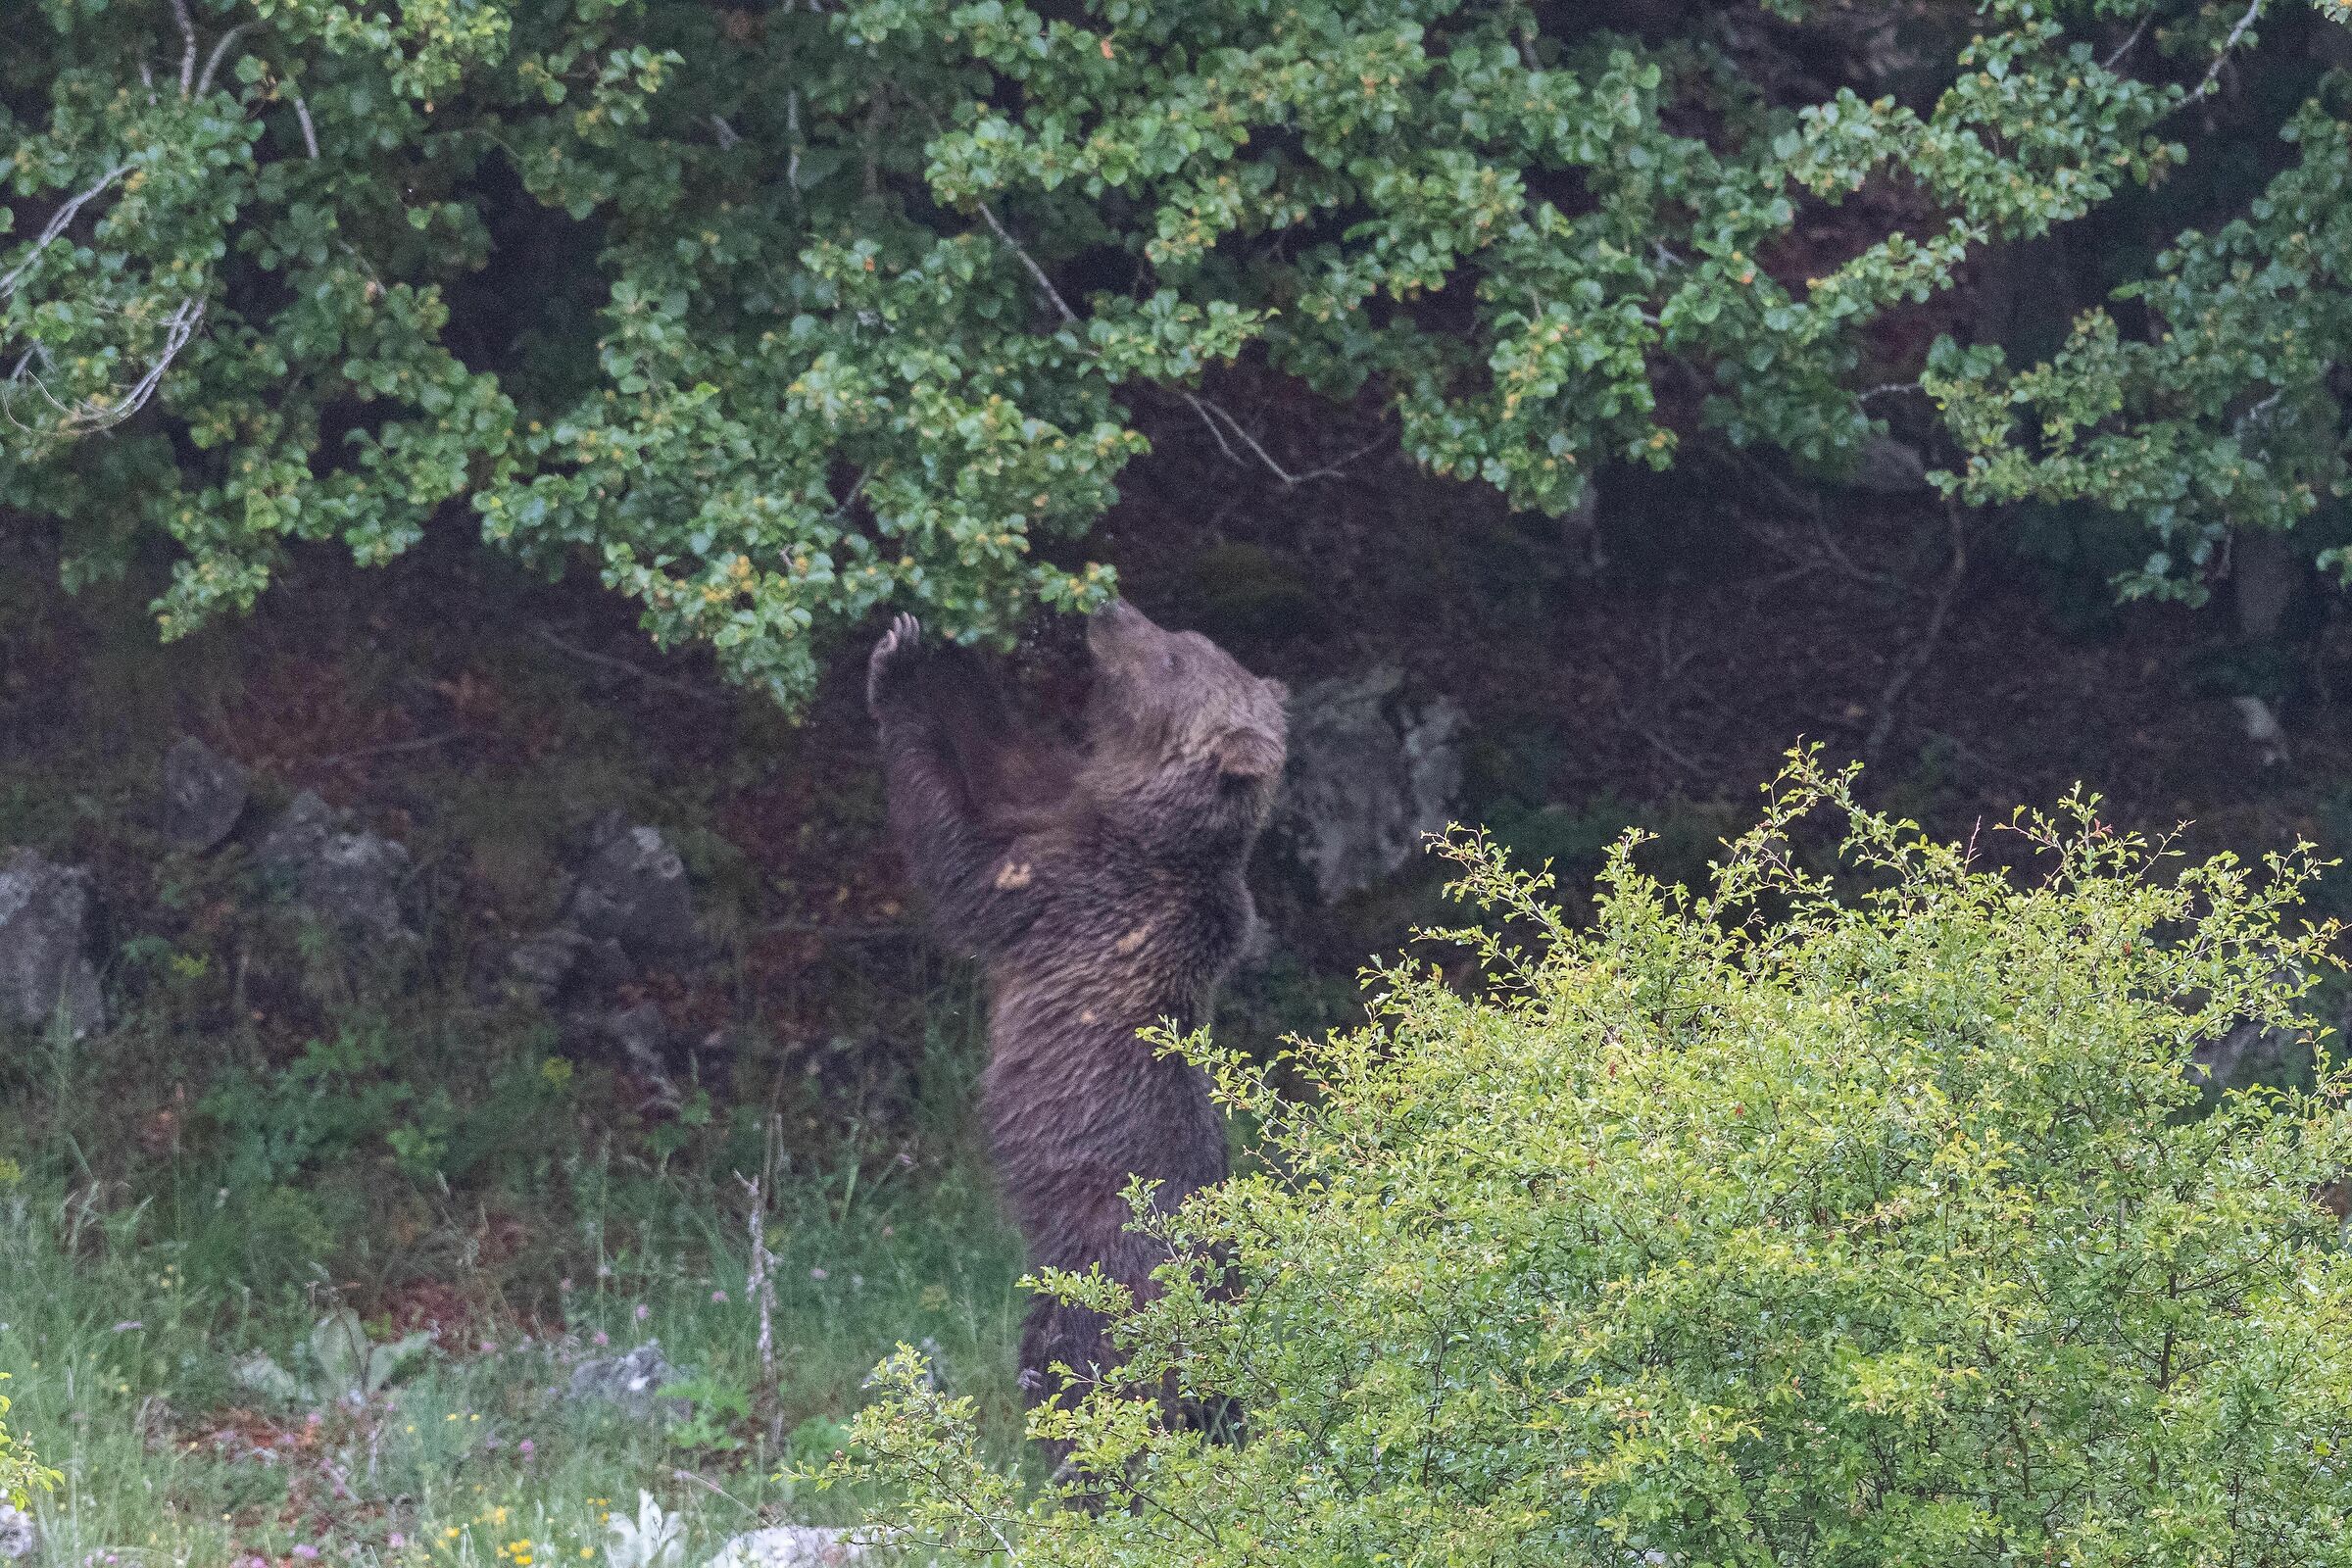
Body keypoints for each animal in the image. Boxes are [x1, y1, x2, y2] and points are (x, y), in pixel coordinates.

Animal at [866, 598, 1287, 1408]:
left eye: (1174, 658)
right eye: (1185, 637)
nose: (1108, 607)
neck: (1141, 818)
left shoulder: (1070, 893)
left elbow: (955, 852)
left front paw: (897, 667)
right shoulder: (1057, 804)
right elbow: (1006, 761)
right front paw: (952, 649)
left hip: (1096, 1282)